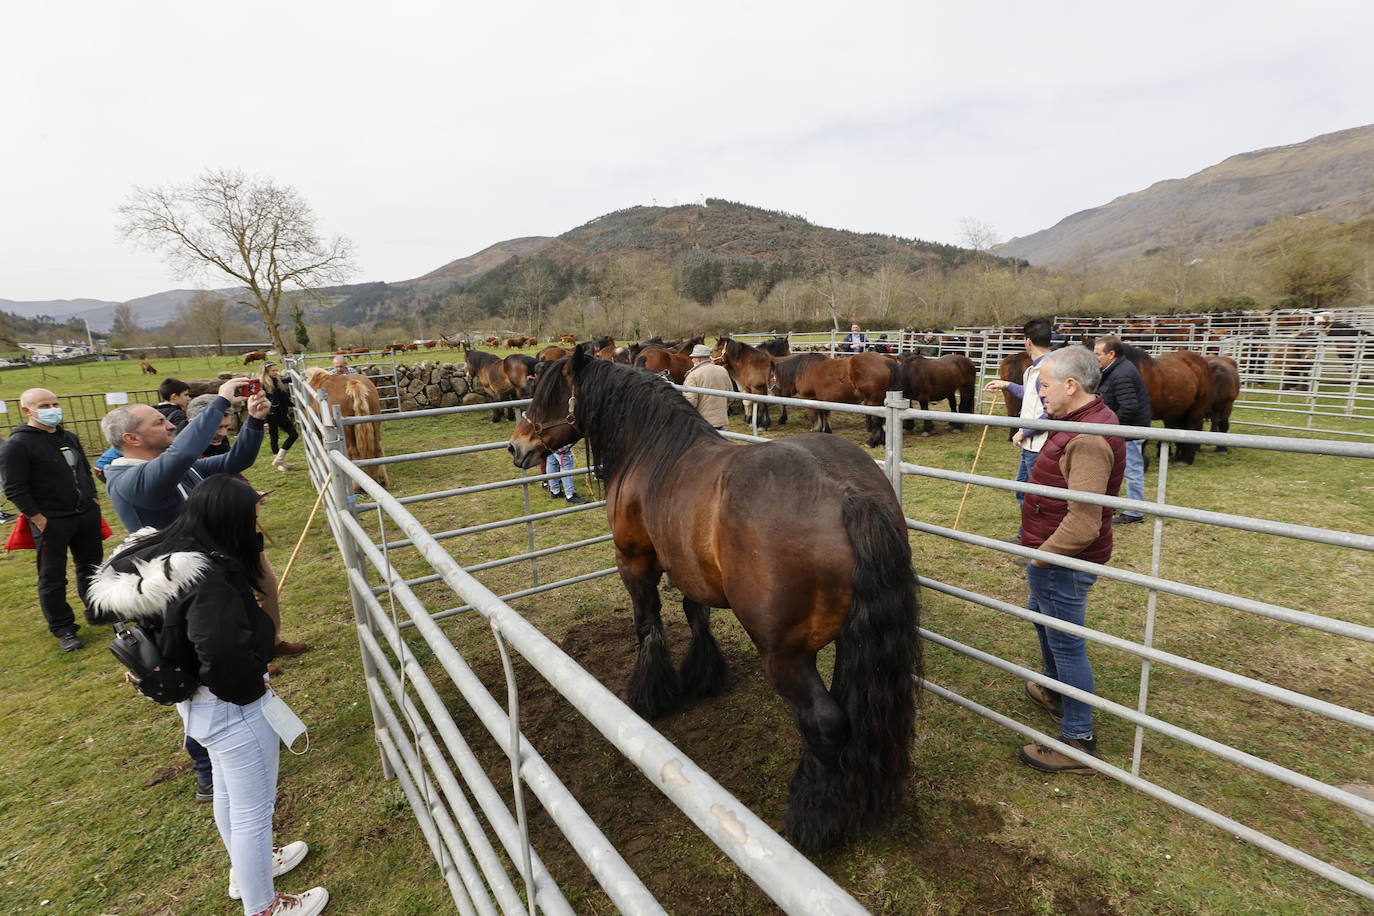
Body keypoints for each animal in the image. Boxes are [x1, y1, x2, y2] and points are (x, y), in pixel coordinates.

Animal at [502, 354, 912, 851]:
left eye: (546, 396)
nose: (515, 446)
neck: (652, 452)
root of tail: (850, 496)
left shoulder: (634, 561)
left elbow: (648, 624)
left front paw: (651, 693)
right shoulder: (685, 565)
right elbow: (695, 617)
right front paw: (702, 675)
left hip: (785, 656)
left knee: (824, 723)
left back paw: (813, 817)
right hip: (851, 644)